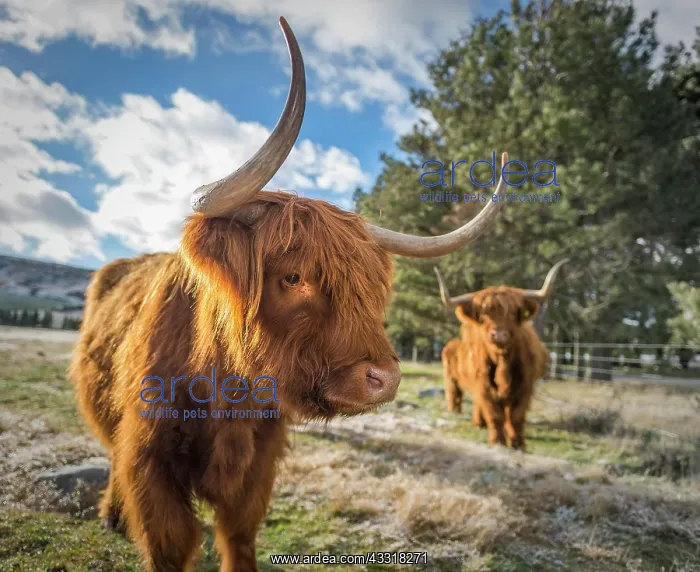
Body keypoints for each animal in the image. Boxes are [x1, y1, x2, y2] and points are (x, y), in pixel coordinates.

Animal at [68, 17, 511, 572]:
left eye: (373, 286)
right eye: (294, 277)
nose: (384, 379)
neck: (225, 393)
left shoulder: (258, 462)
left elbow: (239, 534)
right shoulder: (150, 459)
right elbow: (169, 541)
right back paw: (111, 513)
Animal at [433, 259, 568, 450]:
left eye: (513, 313)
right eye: (483, 316)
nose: (499, 335)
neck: (503, 360)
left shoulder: (524, 387)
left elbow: (516, 416)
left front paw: (517, 442)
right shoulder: (483, 385)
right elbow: (494, 413)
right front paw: (497, 440)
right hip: (452, 378)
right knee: (457, 394)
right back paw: (473, 420)